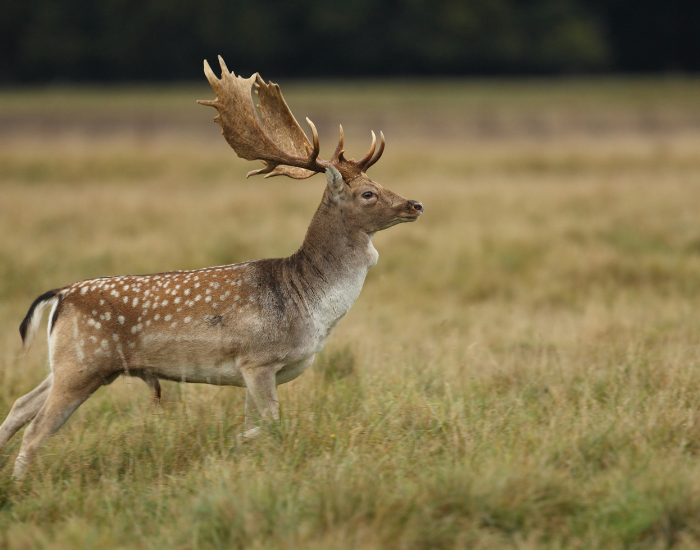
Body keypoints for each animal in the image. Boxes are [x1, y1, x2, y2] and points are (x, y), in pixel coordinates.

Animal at [0, 57, 423, 478]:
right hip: (83, 363)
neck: (309, 306)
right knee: (36, 431)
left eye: (378, 181)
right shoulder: (258, 358)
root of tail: (59, 295)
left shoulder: (257, 370)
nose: (415, 204)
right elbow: (272, 423)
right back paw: (22, 483)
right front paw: (236, 445)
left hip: (70, 364)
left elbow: (261, 424)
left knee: (20, 406)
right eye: (367, 193)